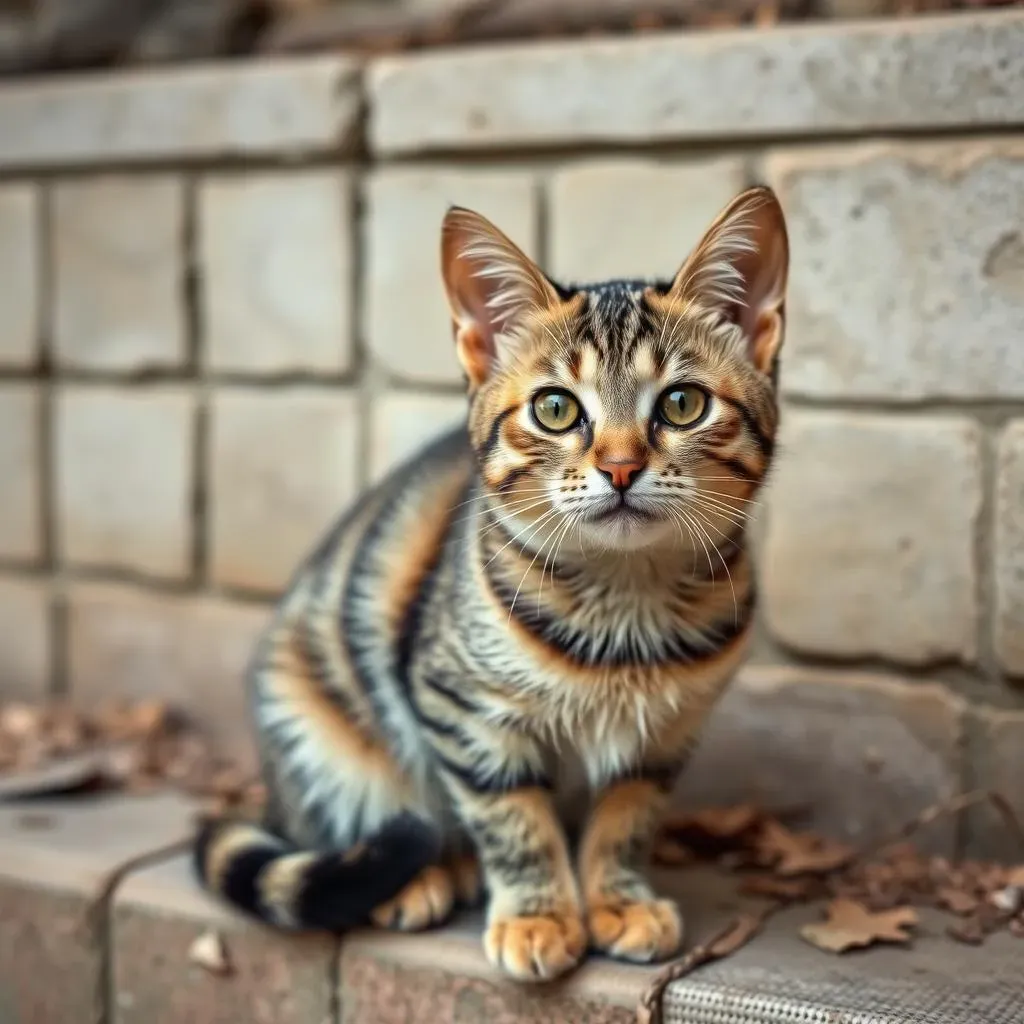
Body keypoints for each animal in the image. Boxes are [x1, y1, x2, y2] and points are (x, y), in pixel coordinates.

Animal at [195, 186, 786, 983]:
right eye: (556, 408)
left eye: (683, 404)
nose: (621, 467)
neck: (625, 600)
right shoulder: (463, 711)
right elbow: (513, 818)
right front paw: (538, 915)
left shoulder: (665, 736)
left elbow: (625, 818)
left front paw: (616, 899)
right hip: (319, 732)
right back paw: (424, 876)